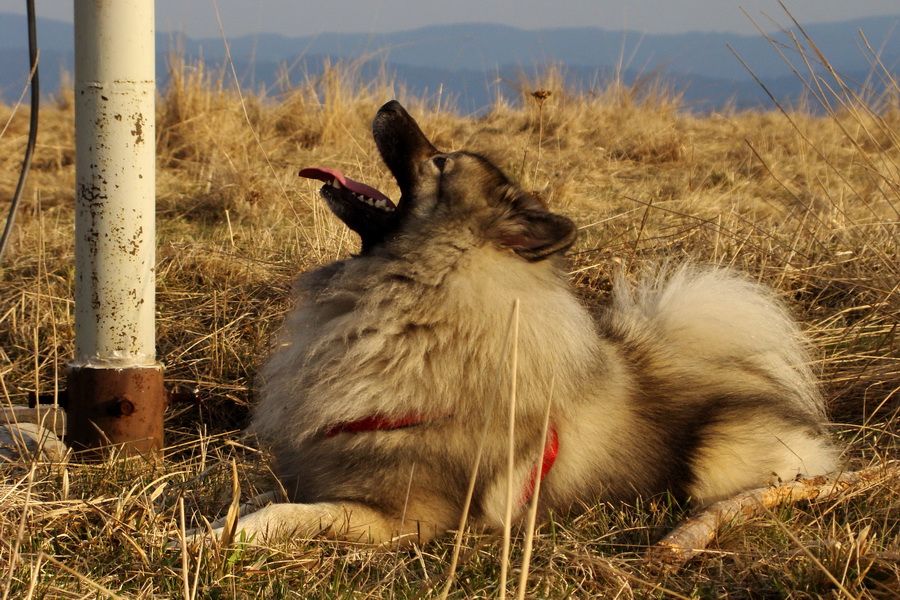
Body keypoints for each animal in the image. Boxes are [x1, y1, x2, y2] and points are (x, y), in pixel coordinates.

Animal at [209, 102, 836, 544]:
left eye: (440, 162)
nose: (389, 104)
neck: (420, 306)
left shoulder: (399, 517)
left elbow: (282, 514)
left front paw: (213, 540)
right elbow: (258, 499)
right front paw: (212, 524)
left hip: (724, 459)